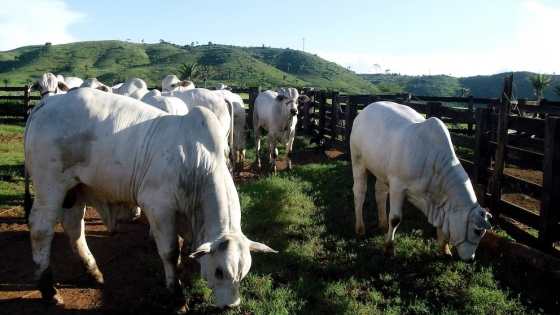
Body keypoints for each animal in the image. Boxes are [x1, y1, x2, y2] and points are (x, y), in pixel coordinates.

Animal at [24, 89, 278, 312]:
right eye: (219, 272)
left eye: (243, 274)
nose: (231, 306)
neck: (198, 161)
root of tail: (47, 102)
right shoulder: (158, 207)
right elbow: (170, 252)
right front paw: (177, 297)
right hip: (50, 187)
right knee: (40, 228)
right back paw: (48, 290)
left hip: (75, 189)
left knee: (74, 226)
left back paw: (93, 272)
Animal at [352, 102, 492, 262]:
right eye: (477, 231)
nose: (470, 258)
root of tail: (366, 109)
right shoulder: (397, 186)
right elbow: (395, 219)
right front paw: (388, 247)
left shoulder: (439, 203)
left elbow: (440, 225)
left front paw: (444, 250)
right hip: (357, 160)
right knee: (359, 193)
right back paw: (360, 229)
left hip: (382, 170)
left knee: (379, 193)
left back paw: (382, 224)